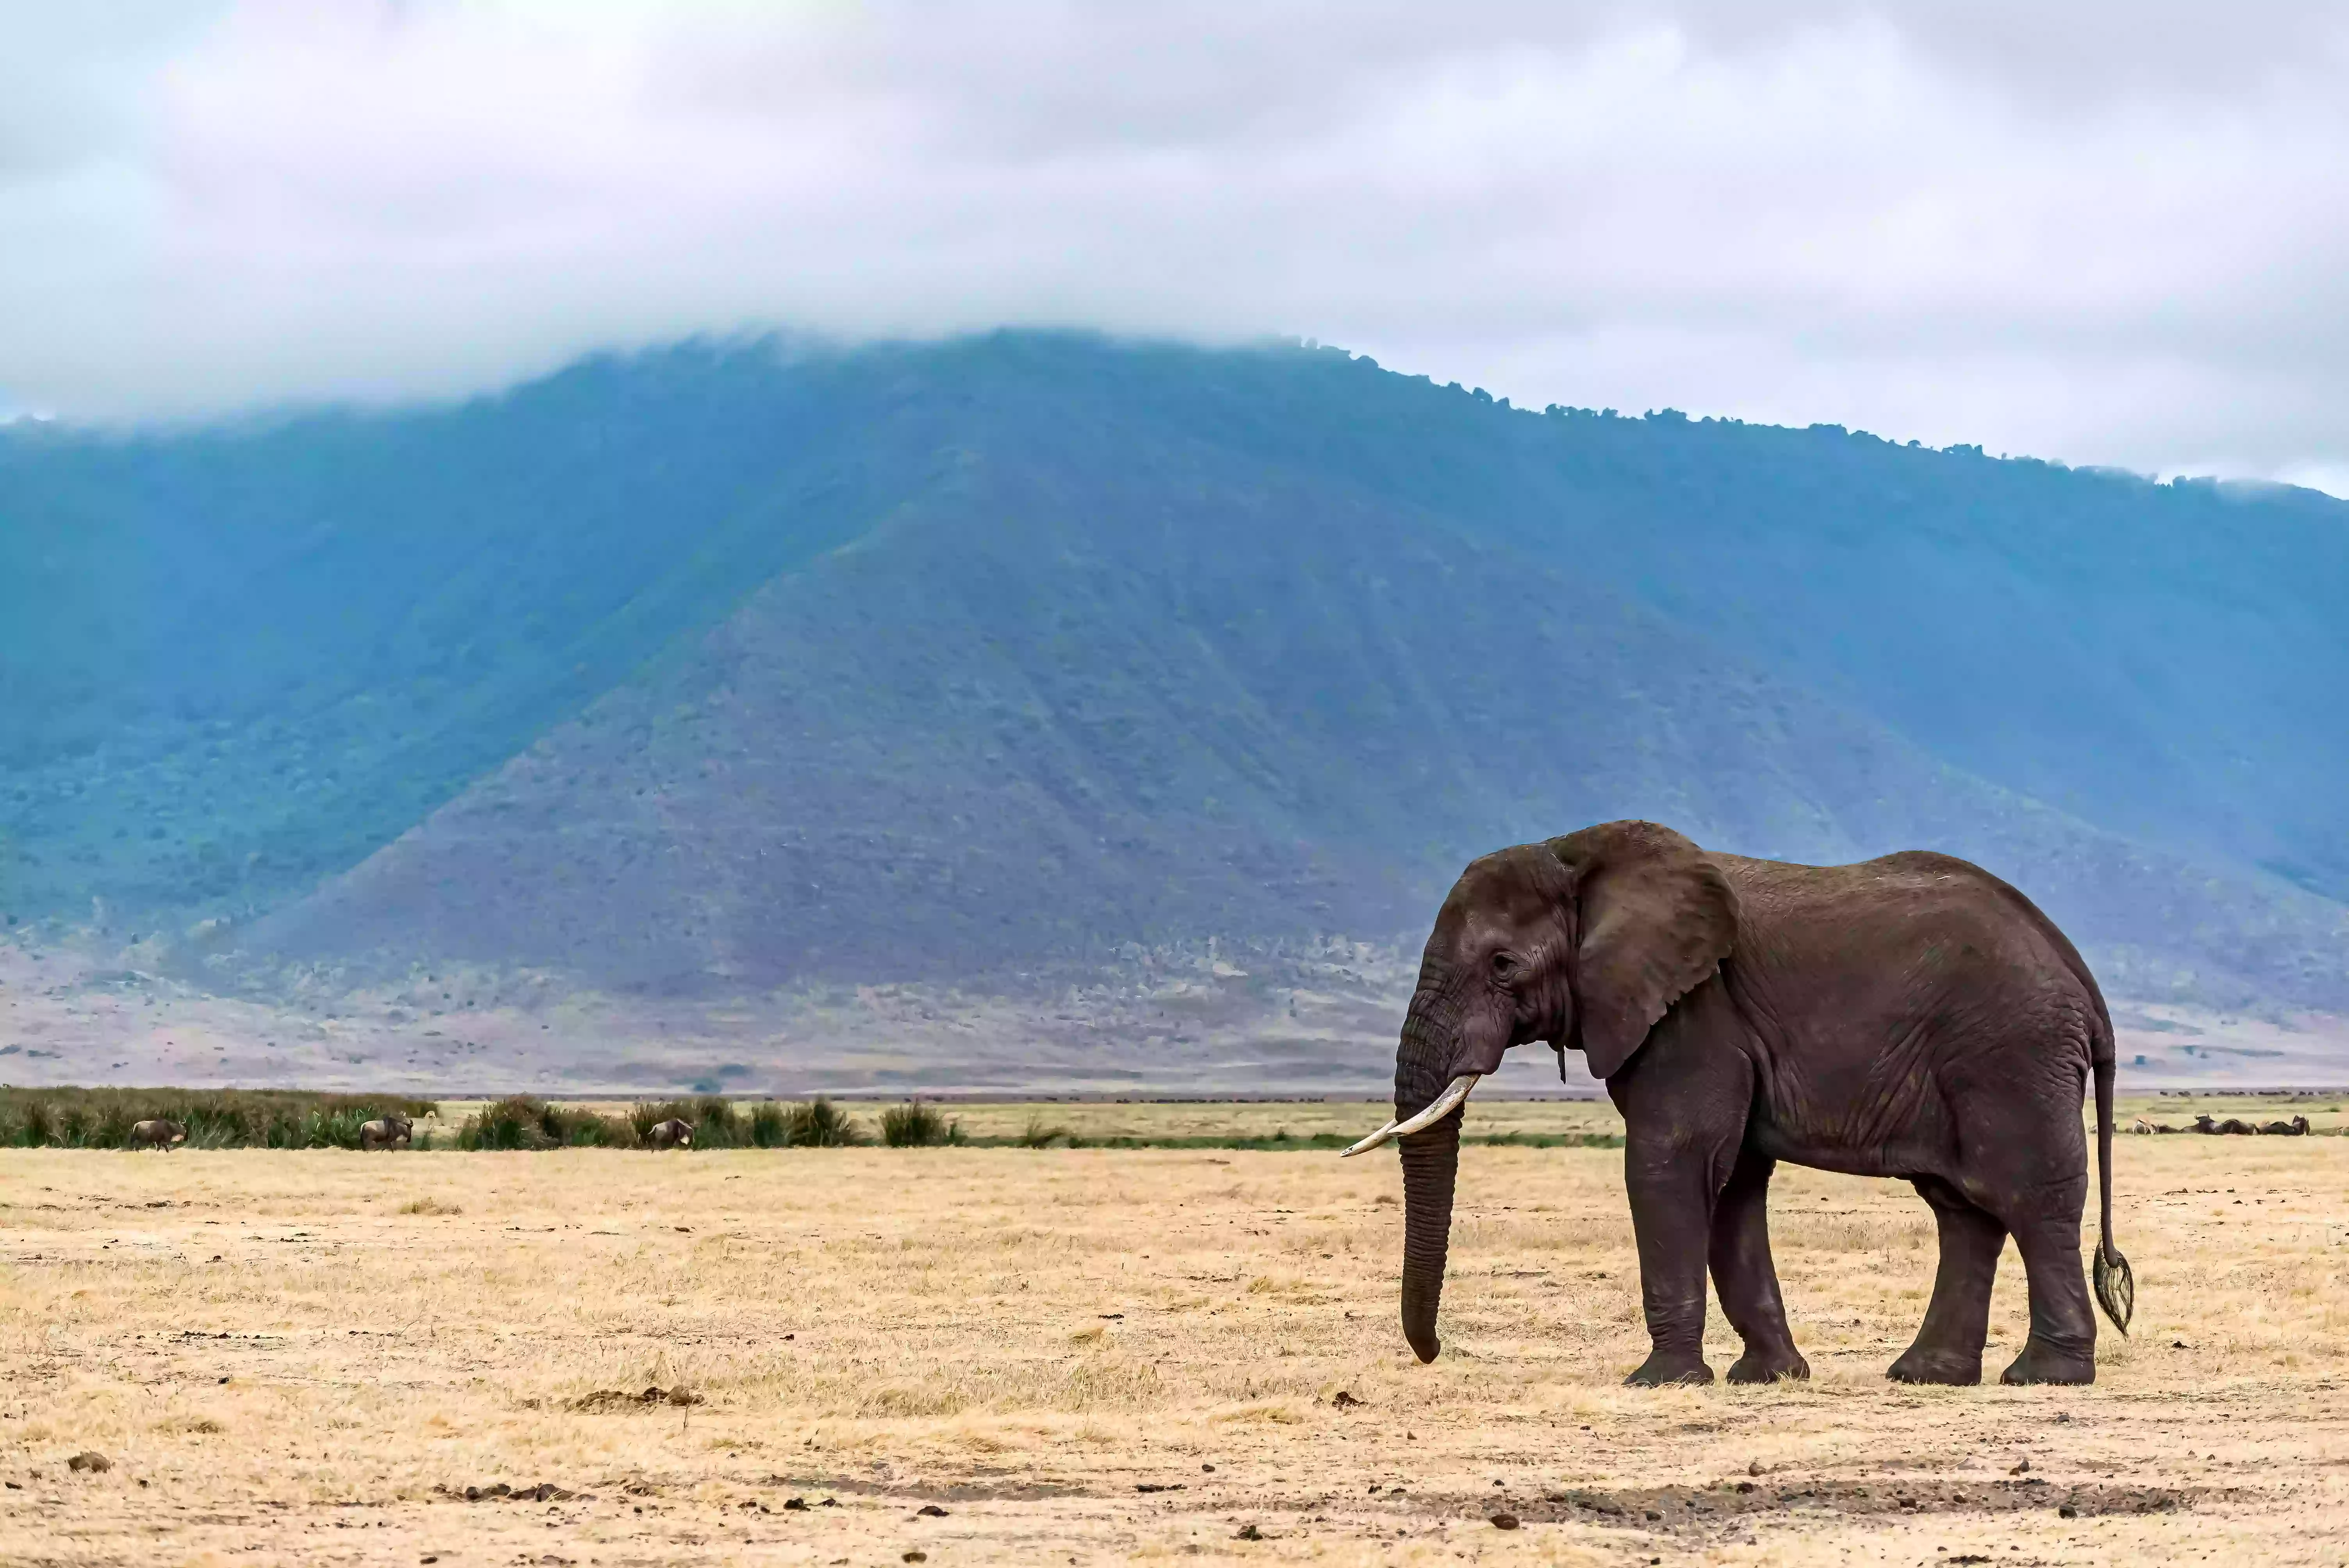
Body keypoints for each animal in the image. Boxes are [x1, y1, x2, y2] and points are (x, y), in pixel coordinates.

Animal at [127, 1112, 184, 1150]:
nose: (183, 1137)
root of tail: (136, 1125)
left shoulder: (158, 1141)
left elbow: (158, 1149)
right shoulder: (165, 1140)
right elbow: (167, 1148)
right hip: (142, 1140)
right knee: (138, 1147)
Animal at [1344, 821, 2133, 1380]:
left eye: (1502, 966)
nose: (1433, 1353)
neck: (1580, 854)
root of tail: (2081, 977)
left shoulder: (1696, 1014)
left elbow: (1672, 1164)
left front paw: (1660, 1381)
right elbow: (1731, 1185)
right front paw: (1769, 1377)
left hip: (2013, 1054)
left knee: (2029, 1195)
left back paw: (2045, 1377)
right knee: (1963, 1208)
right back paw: (1925, 1376)